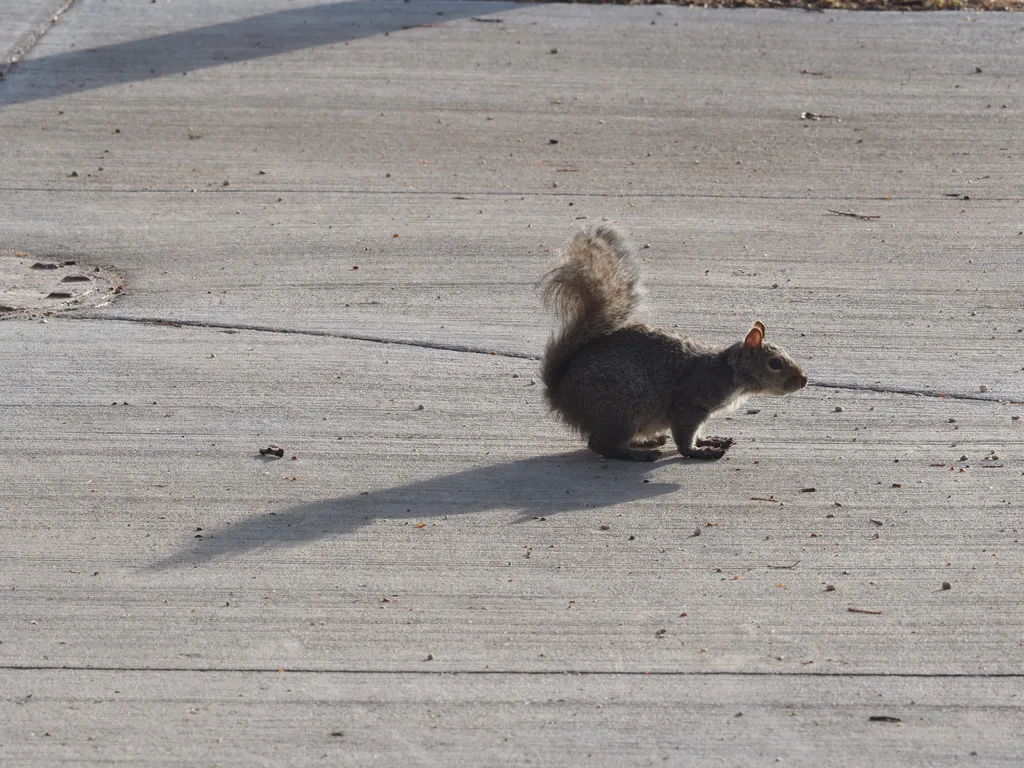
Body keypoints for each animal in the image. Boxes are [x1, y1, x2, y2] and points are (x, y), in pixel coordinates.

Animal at [540, 224, 807, 462]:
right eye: (775, 363)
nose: (804, 380)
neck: (727, 371)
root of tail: (560, 393)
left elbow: (697, 433)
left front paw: (709, 440)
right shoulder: (688, 402)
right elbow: (684, 437)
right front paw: (699, 451)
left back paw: (646, 441)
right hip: (623, 405)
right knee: (601, 445)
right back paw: (636, 454)